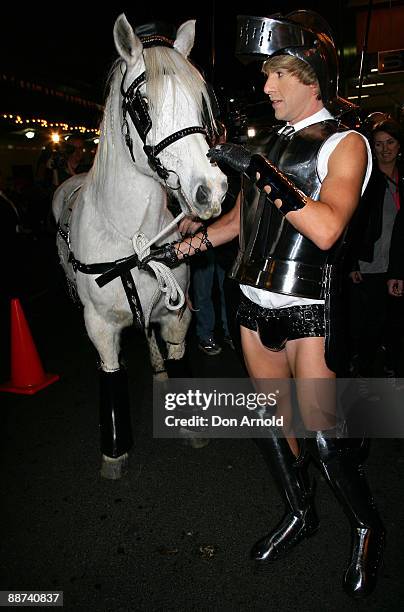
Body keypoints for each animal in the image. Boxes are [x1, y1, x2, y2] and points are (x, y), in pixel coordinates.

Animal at [52, 15, 227, 478]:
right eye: (143, 106)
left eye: (200, 102)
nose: (211, 189)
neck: (132, 240)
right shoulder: (99, 325)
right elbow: (111, 371)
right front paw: (114, 451)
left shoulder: (177, 313)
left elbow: (178, 357)